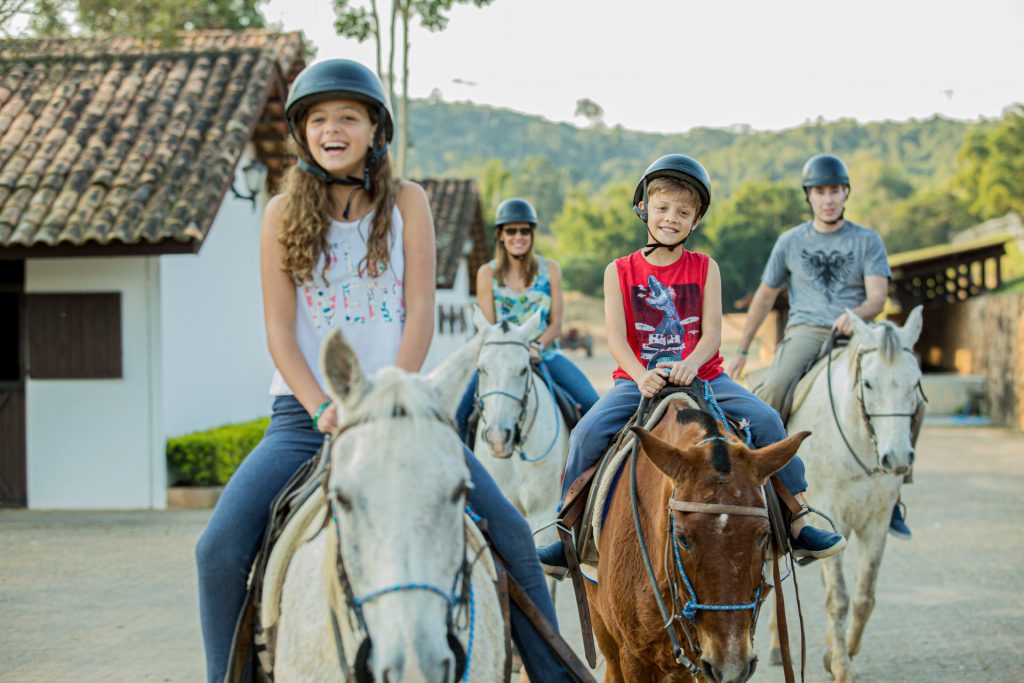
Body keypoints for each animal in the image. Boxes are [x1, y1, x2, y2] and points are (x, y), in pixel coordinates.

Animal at [770, 307, 929, 679]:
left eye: (915, 382)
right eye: (868, 383)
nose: (897, 459)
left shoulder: (876, 523)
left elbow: (864, 595)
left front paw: (841, 652)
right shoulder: (833, 519)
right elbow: (837, 599)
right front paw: (842, 667)